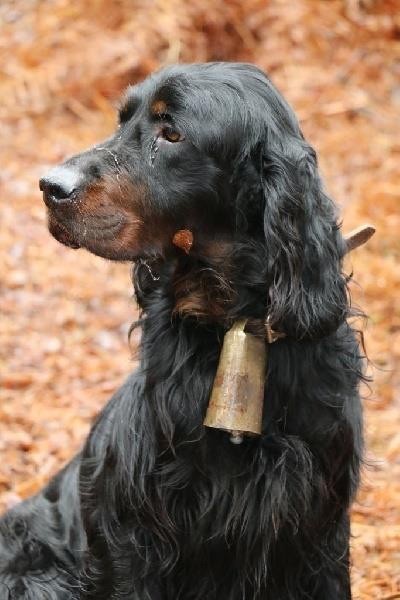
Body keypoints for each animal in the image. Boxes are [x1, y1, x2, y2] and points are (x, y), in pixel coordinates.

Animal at [0, 63, 366, 596]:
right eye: (123, 121)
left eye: (171, 133)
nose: (50, 186)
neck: (232, 321)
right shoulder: (136, 536)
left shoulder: (320, 530)